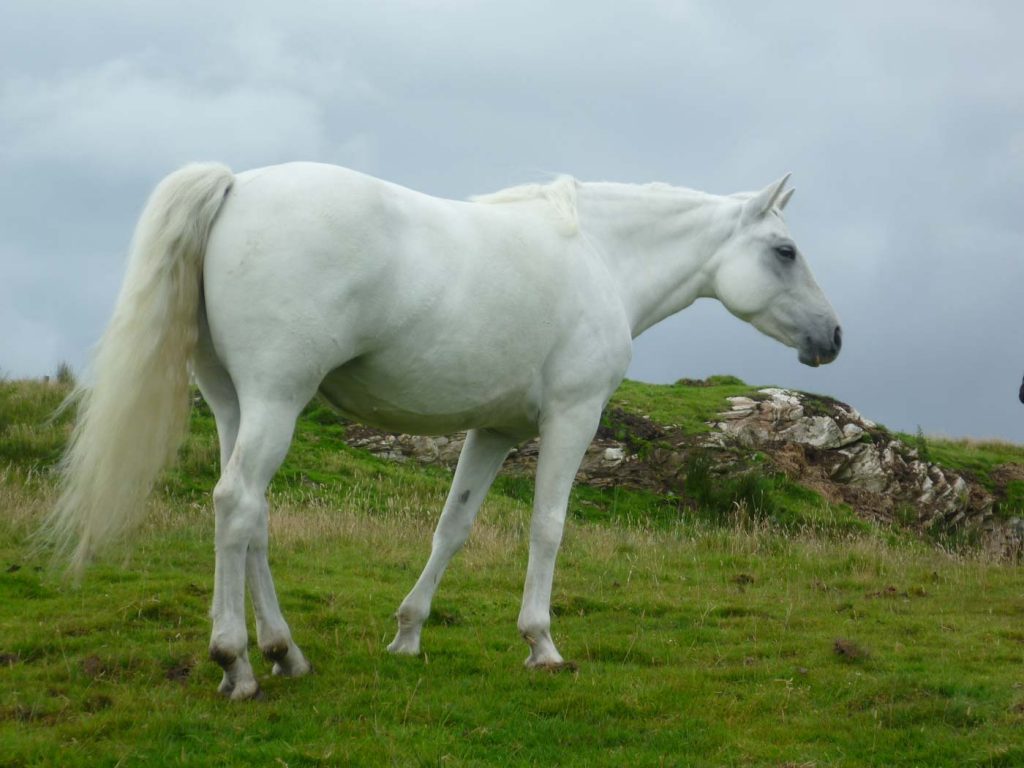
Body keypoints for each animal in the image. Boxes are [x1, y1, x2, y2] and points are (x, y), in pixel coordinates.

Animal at [48, 160, 839, 696]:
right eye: (785, 251)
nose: (832, 338)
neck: (600, 257)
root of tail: (238, 186)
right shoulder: (573, 416)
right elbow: (548, 527)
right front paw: (542, 644)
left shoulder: (494, 431)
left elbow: (452, 528)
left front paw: (407, 633)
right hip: (276, 398)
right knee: (236, 504)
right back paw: (236, 661)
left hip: (235, 404)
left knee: (252, 518)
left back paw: (283, 651)